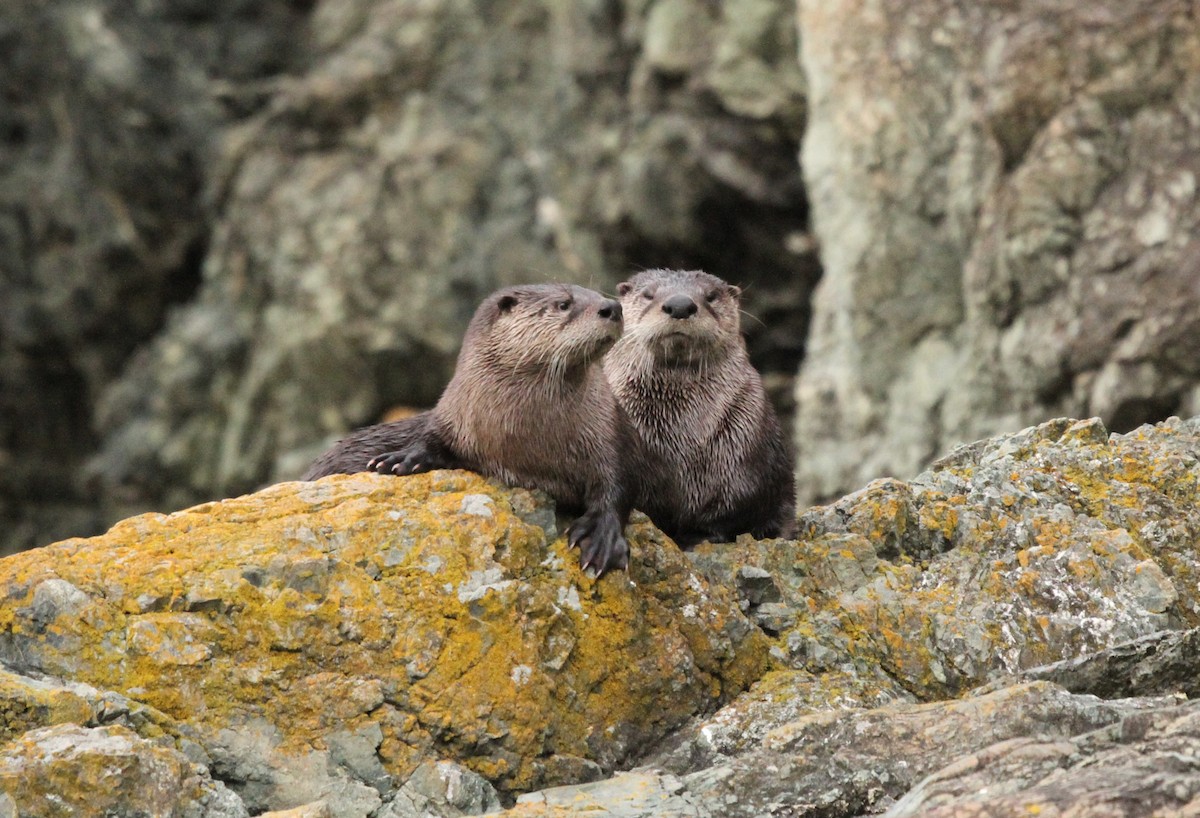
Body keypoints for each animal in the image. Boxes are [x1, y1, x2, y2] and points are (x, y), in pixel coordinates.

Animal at [303, 284, 631, 574]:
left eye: (599, 293)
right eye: (564, 304)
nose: (612, 307)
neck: (527, 441)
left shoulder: (607, 431)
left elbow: (615, 485)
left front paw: (601, 535)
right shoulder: (454, 414)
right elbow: (431, 438)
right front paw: (401, 459)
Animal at [603, 269, 795, 545]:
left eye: (711, 296)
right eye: (648, 294)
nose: (680, 305)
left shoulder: (744, 445)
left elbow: (732, 508)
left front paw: (698, 537)